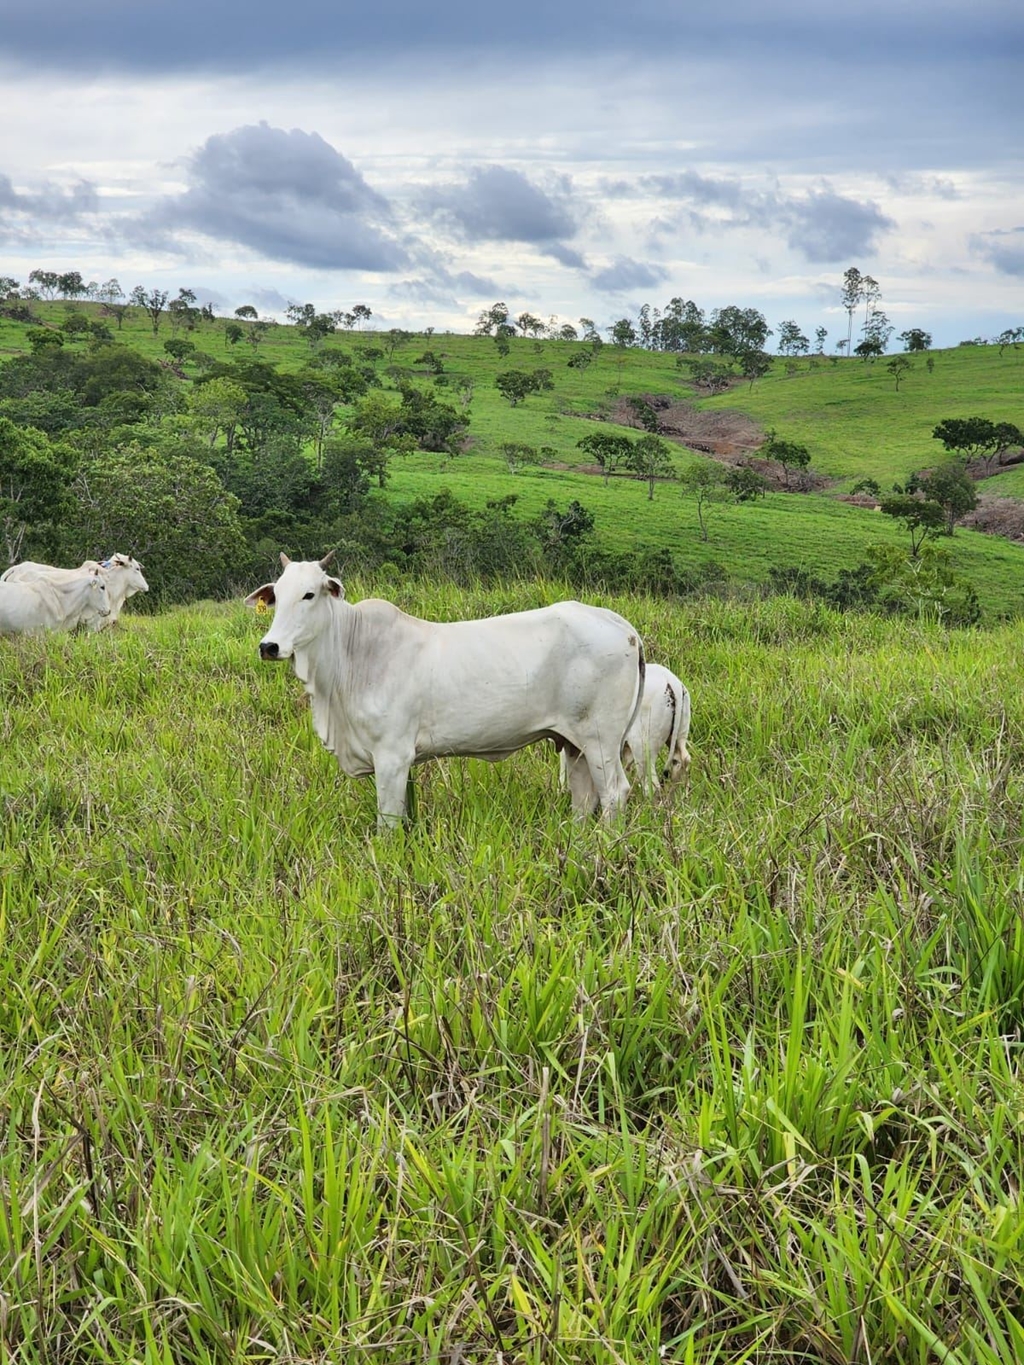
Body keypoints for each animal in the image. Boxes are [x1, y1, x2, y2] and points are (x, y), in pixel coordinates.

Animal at [247, 548, 644, 824]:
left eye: (309, 594)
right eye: (277, 596)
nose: (269, 646)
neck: (353, 652)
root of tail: (622, 627)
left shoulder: (392, 755)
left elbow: (388, 823)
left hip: (601, 739)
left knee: (614, 793)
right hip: (575, 743)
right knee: (583, 798)